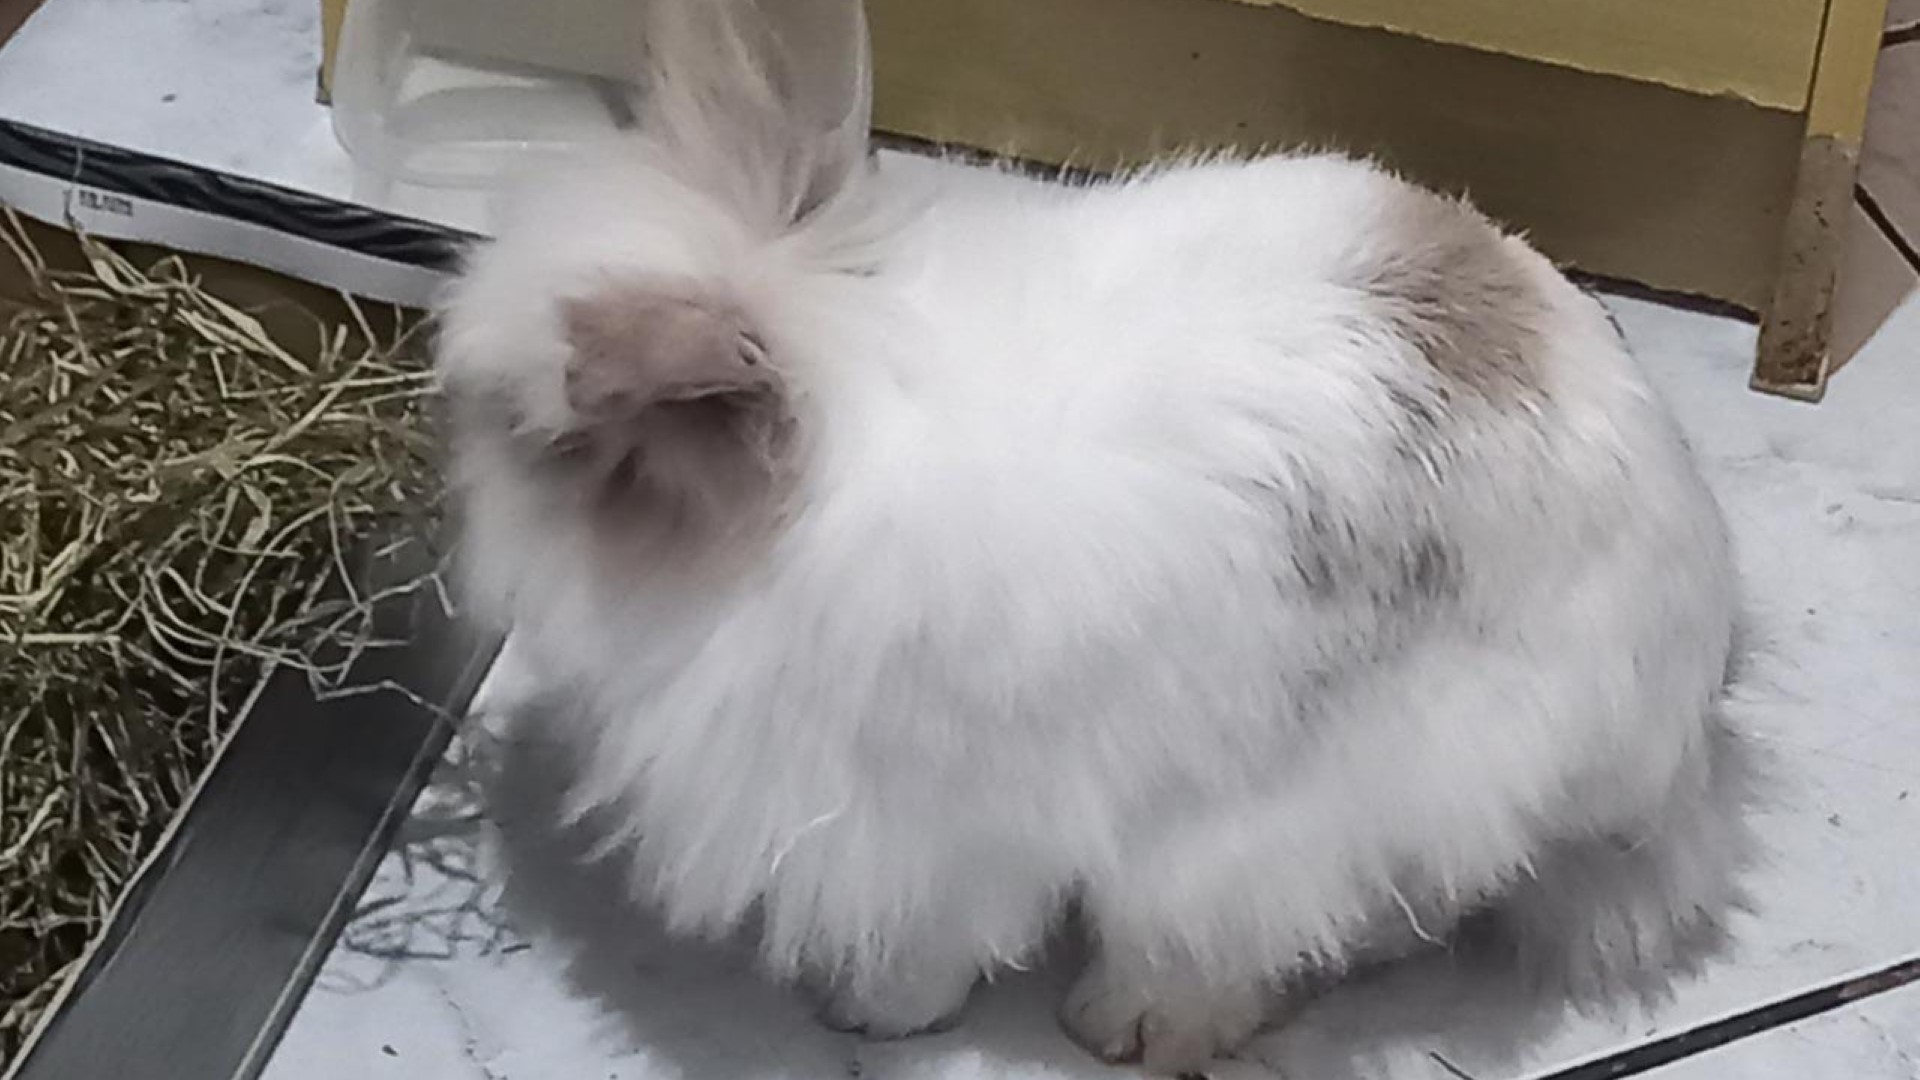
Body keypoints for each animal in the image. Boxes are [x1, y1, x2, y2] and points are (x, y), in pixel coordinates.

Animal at [434, 1, 1756, 1072]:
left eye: (560, 443)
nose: (479, 530)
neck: (808, 470)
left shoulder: (933, 827)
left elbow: (931, 933)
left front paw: (873, 1013)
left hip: (1321, 798)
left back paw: (1129, 1028)